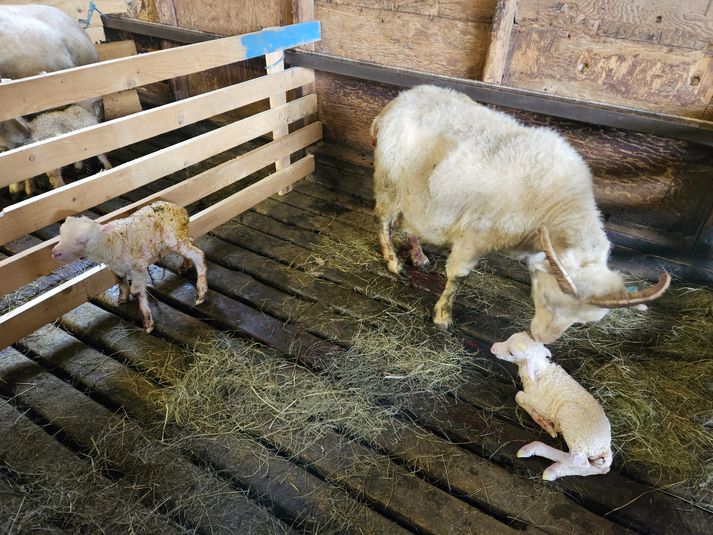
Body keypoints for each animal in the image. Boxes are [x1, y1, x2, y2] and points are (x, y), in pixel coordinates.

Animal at [49, 202, 206, 332]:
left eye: (81, 240)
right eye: (61, 233)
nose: (55, 253)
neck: (108, 242)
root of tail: (181, 209)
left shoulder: (139, 266)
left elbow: (136, 291)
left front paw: (147, 322)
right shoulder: (117, 268)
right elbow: (121, 282)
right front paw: (122, 297)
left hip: (173, 236)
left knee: (198, 254)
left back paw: (201, 292)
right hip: (179, 237)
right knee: (191, 242)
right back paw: (186, 264)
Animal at [370, 84, 672, 344]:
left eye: (581, 322)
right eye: (548, 300)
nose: (539, 339)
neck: (556, 202)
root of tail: (398, 101)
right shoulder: (475, 236)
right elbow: (457, 277)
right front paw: (443, 316)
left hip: (418, 193)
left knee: (411, 224)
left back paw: (418, 257)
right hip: (390, 181)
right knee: (384, 220)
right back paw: (394, 263)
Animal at [490, 330, 612, 482]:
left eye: (512, 353)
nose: (493, 347)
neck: (540, 372)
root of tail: (604, 447)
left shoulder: (543, 405)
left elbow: (519, 395)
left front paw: (546, 424)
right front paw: (546, 424)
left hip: (570, 418)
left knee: (579, 461)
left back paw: (533, 449)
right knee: (597, 469)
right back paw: (554, 471)